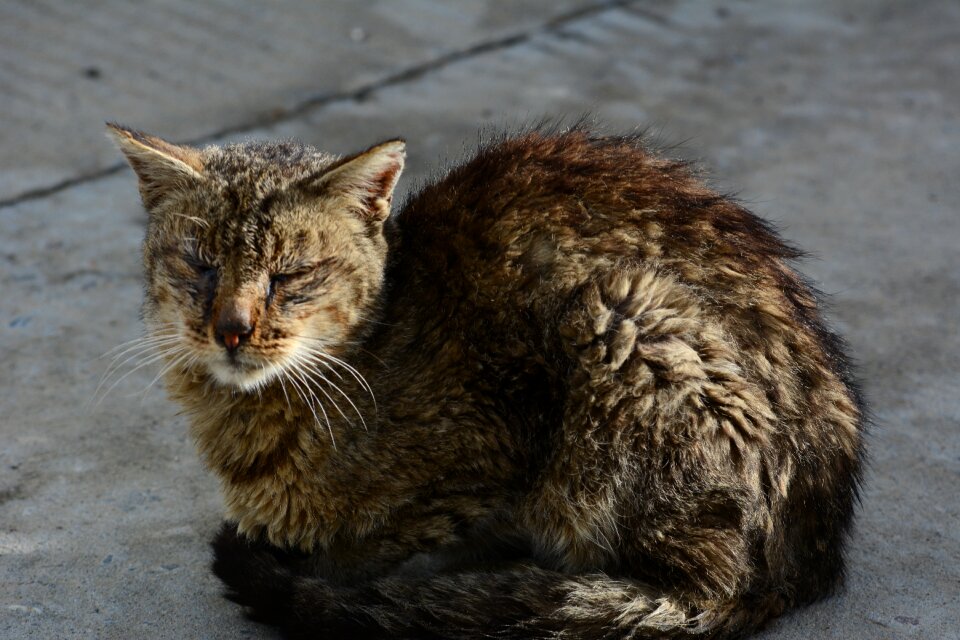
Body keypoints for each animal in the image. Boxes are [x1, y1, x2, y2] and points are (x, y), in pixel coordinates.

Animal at [109, 121, 868, 640]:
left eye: (289, 276)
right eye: (201, 264)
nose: (232, 328)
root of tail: (808, 559)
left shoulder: (490, 455)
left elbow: (385, 545)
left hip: (626, 322)